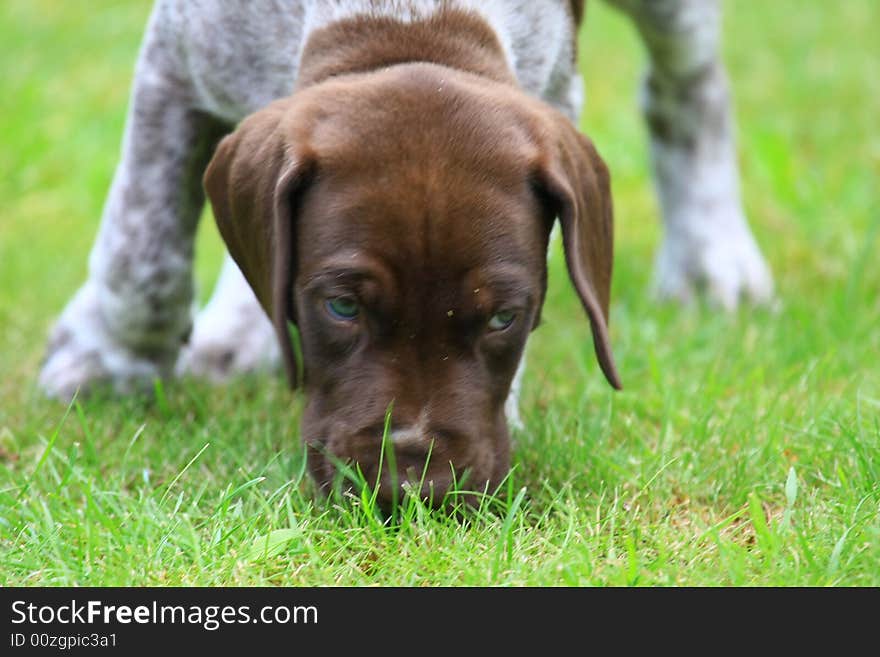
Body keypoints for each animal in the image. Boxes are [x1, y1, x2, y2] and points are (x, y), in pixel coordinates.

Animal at [39, 0, 768, 452]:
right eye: (341, 307)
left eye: (504, 316)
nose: (415, 479)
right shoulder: (178, 59)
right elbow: (143, 252)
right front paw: (110, 361)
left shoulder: (556, 89)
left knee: (688, 87)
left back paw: (714, 261)